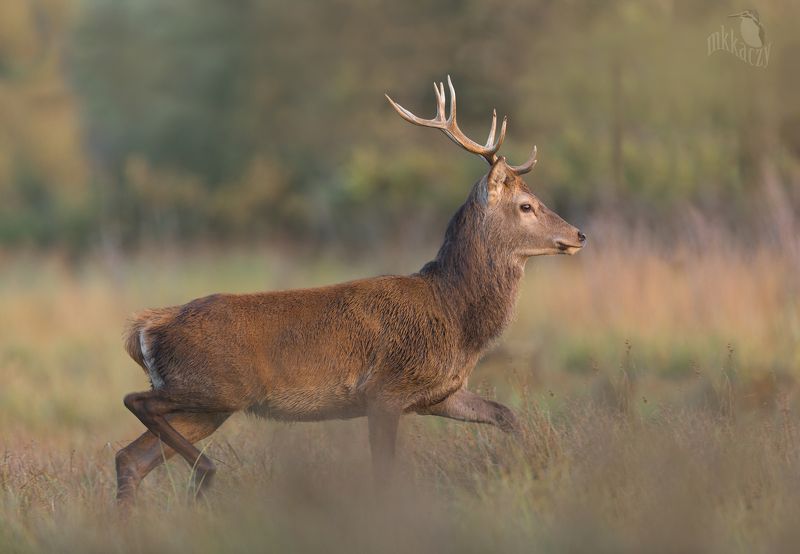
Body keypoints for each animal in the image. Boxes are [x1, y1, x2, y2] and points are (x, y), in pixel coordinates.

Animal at [115, 76, 586, 505]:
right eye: (526, 206)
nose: (579, 234)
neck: (454, 315)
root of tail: (146, 327)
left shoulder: (440, 393)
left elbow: (507, 414)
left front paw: (534, 465)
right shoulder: (385, 390)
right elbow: (384, 474)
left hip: (207, 407)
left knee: (129, 458)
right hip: (215, 386)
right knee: (136, 402)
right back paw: (205, 472)